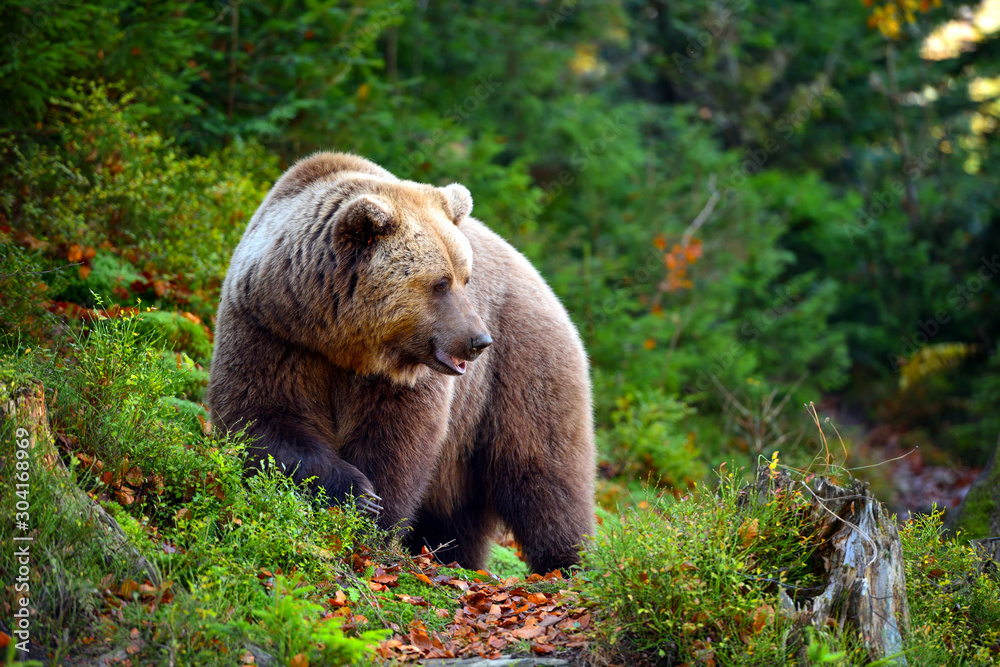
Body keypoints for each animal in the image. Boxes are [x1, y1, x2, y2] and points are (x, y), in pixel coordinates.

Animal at [206, 152, 595, 574]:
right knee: (461, 516)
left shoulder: (404, 378)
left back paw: (568, 562)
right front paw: (356, 493)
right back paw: (453, 557)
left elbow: (397, 442)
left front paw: (372, 520)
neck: (341, 342)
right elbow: (264, 418)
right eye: (440, 283)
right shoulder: (273, 333)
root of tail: (546, 286)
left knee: (544, 472)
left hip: (520, 370)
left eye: (465, 277)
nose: (479, 341)